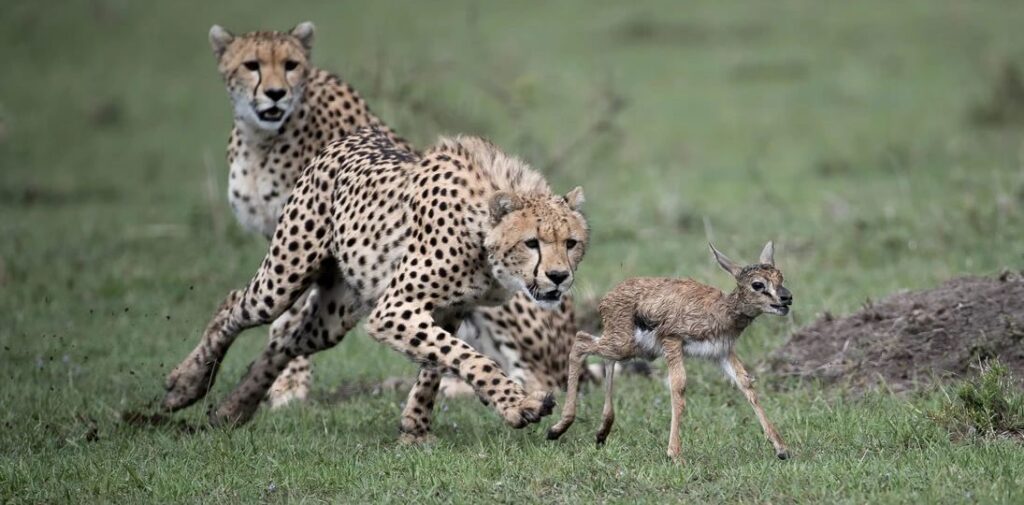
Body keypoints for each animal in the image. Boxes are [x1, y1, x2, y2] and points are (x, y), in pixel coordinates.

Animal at [163, 127, 589, 440]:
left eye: (571, 243)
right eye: (532, 242)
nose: (558, 276)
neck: (482, 234)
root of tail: (350, 137)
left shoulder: (450, 309)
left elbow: (436, 363)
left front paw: (415, 429)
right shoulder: (394, 308)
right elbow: (468, 356)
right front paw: (518, 405)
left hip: (333, 317)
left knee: (286, 341)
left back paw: (233, 408)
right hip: (284, 276)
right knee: (235, 305)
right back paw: (186, 384)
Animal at [201, 21, 585, 407]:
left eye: (290, 64)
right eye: (252, 65)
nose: (276, 94)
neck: (262, 139)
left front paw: (288, 387)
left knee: (537, 376)